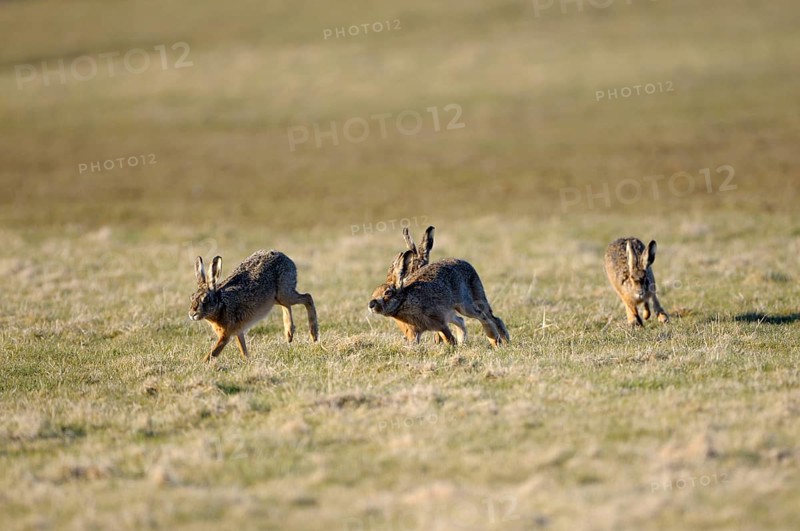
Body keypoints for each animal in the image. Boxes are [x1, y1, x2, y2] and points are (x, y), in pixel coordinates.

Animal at [189, 250, 318, 362]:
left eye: (205, 299)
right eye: (191, 297)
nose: (192, 314)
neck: (221, 305)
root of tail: (285, 257)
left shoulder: (226, 335)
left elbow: (214, 352)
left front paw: (202, 363)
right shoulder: (238, 331)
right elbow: (243, 348)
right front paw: (247, 360)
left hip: (284, 293)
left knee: (307, 297)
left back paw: (314, 335)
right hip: (275, 298)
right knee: (288, 305)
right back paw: (289, 334)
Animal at [368, 250, 510, 347]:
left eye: (388, 293)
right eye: (374, 292)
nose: (371, 305)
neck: (403, 301)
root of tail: (467, 264)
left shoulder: (439, 321)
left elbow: (447, 337)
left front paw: (452, 348)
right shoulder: (414, 331)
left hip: (466, 305)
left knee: (485, 317)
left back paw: (498, 341)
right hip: (452, 310)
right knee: (463, 320)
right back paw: (465, 342)